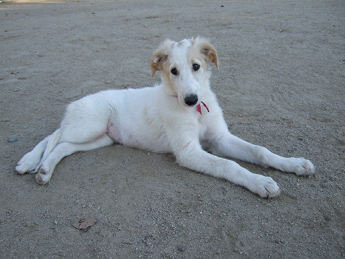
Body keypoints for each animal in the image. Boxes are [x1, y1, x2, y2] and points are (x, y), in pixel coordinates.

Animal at [14, 37, 314, 198]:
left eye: (196, 66)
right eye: (173, 71)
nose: (191, 99)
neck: (195, 112)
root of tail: (76, 103)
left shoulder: (220, 138)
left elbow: (260, 151)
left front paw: (295, 164)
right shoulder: (188, 151)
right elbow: (229, 165)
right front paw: (260, 182)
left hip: (101, 138)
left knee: (63, 145)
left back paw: (44, 169)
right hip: (90, 124)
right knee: (53, 135)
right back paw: (29, 161)